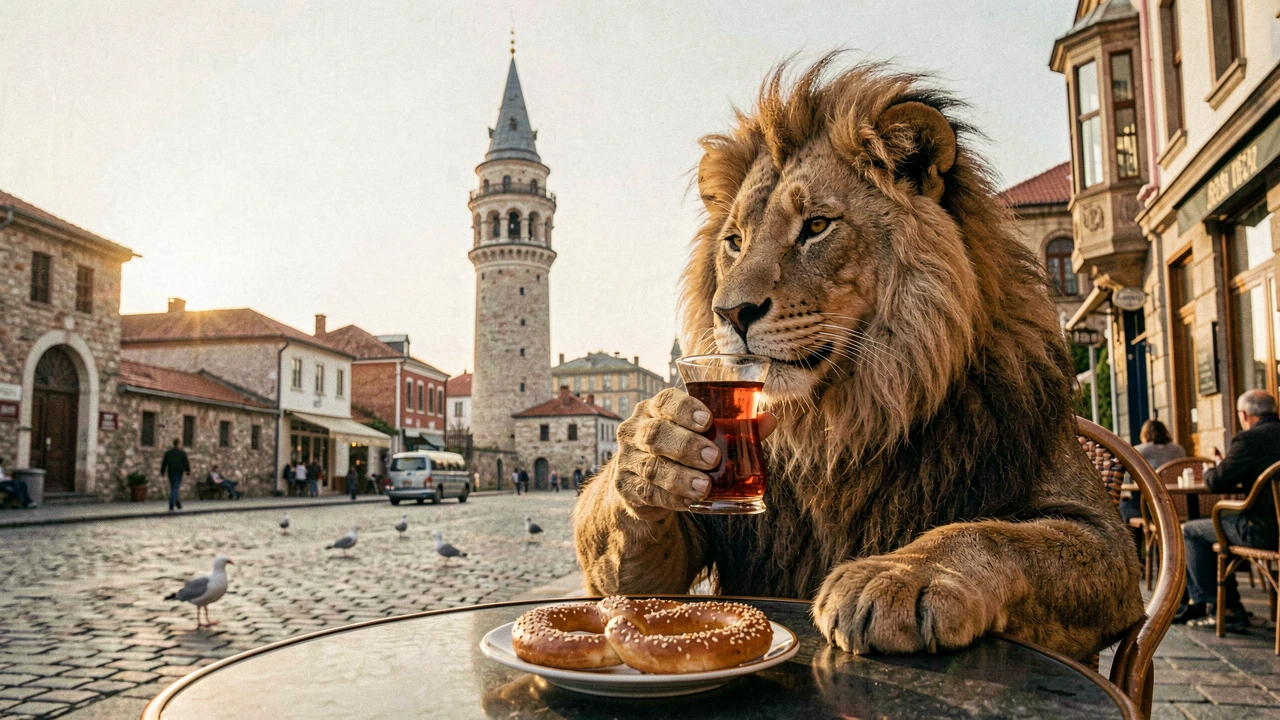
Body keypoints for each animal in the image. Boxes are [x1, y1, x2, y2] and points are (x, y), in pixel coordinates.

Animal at [572, 55, 1143, 660]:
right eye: (735, 241)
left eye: (817, 226)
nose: (729, 313)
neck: (848, 418)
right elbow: (635, 573)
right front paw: (652, 449)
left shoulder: (1103, 536)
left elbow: (991, 535)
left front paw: (896, 577)